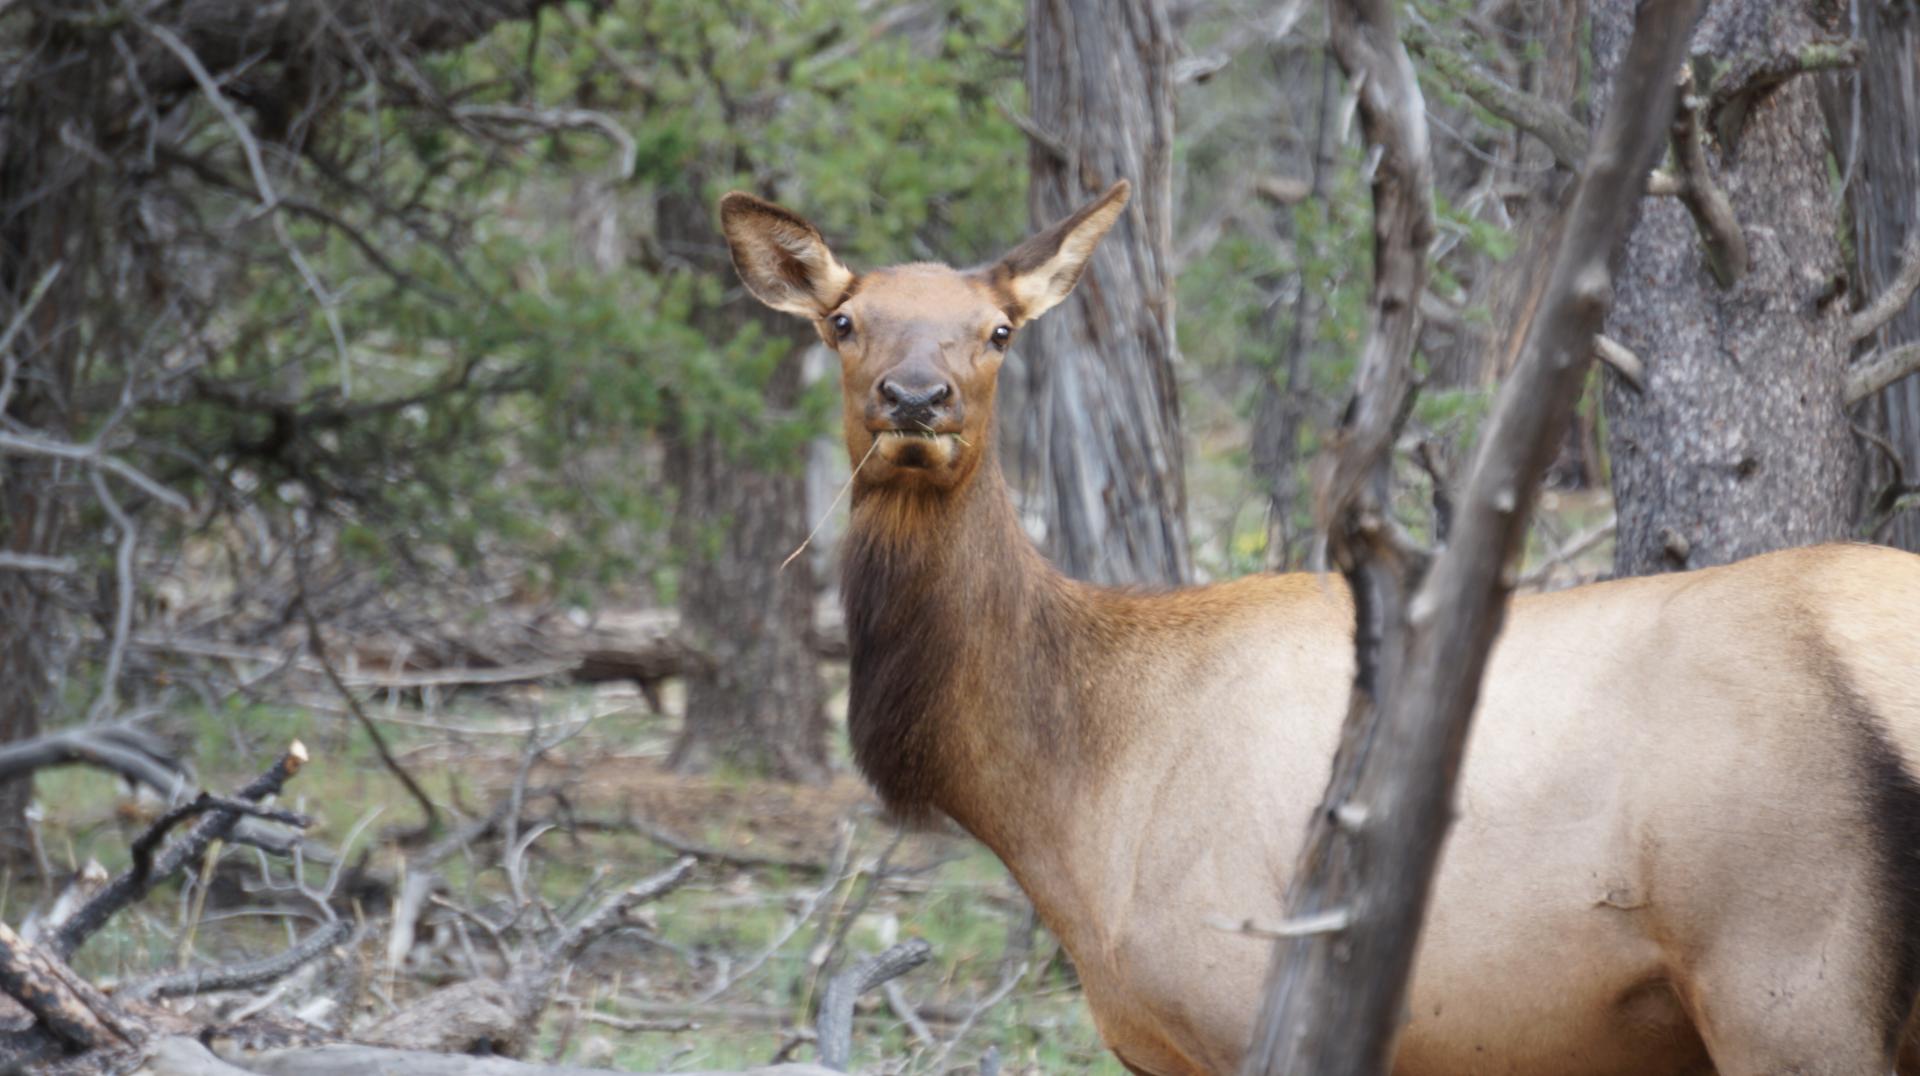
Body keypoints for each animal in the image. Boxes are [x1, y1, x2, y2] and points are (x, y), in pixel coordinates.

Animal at [718, 180, 1920, 1068]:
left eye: (999, 330)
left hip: (1784, 977)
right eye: (844, 322)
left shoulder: (1236, 1011)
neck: (1066, 797)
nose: (916, 399)